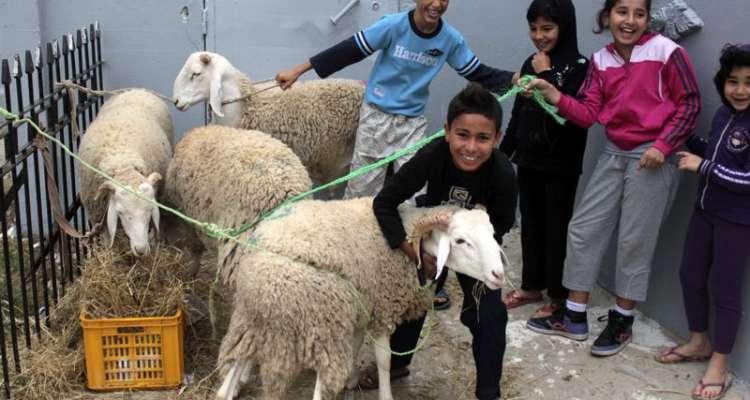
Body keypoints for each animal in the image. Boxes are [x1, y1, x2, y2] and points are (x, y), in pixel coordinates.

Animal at [78, 89, 174, 255]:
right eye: (120, 212)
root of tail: (137, 89)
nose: (141, 250)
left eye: (150, 210)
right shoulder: (98, 216)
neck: (123, 166)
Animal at [214, 197, 506, 400]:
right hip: (323, 325)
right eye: (460, 241)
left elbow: (355, 346)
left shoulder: (362, 308)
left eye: (492, 234)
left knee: (237, 362)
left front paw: (352, 379)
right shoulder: (381, 309)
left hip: (253, 322)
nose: (499, 274)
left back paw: (227, 389)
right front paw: (385, 395)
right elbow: (384, 361)